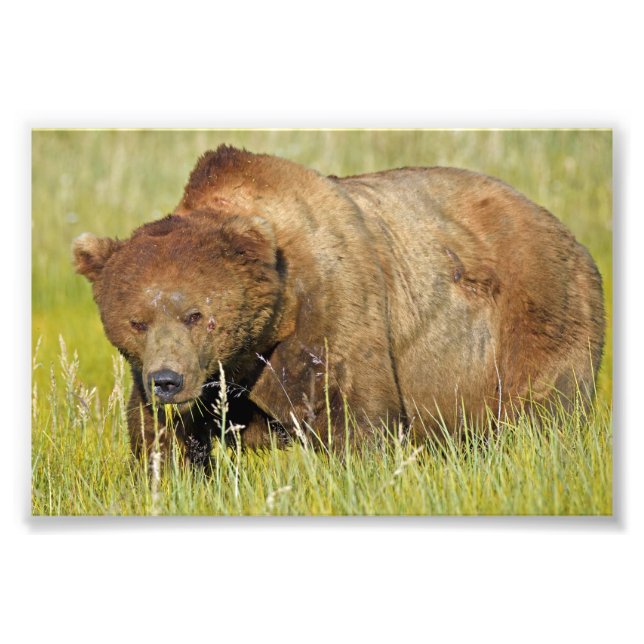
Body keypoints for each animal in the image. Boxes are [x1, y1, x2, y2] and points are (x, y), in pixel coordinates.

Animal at [73, 144, 605, 465]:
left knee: (544, 410)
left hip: (536, 317)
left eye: (196, 315)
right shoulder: (205, 380)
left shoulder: (334, 310)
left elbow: (356, 418)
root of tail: (568, 233)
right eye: (137, 321)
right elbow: (161, 439)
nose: (167, 380)